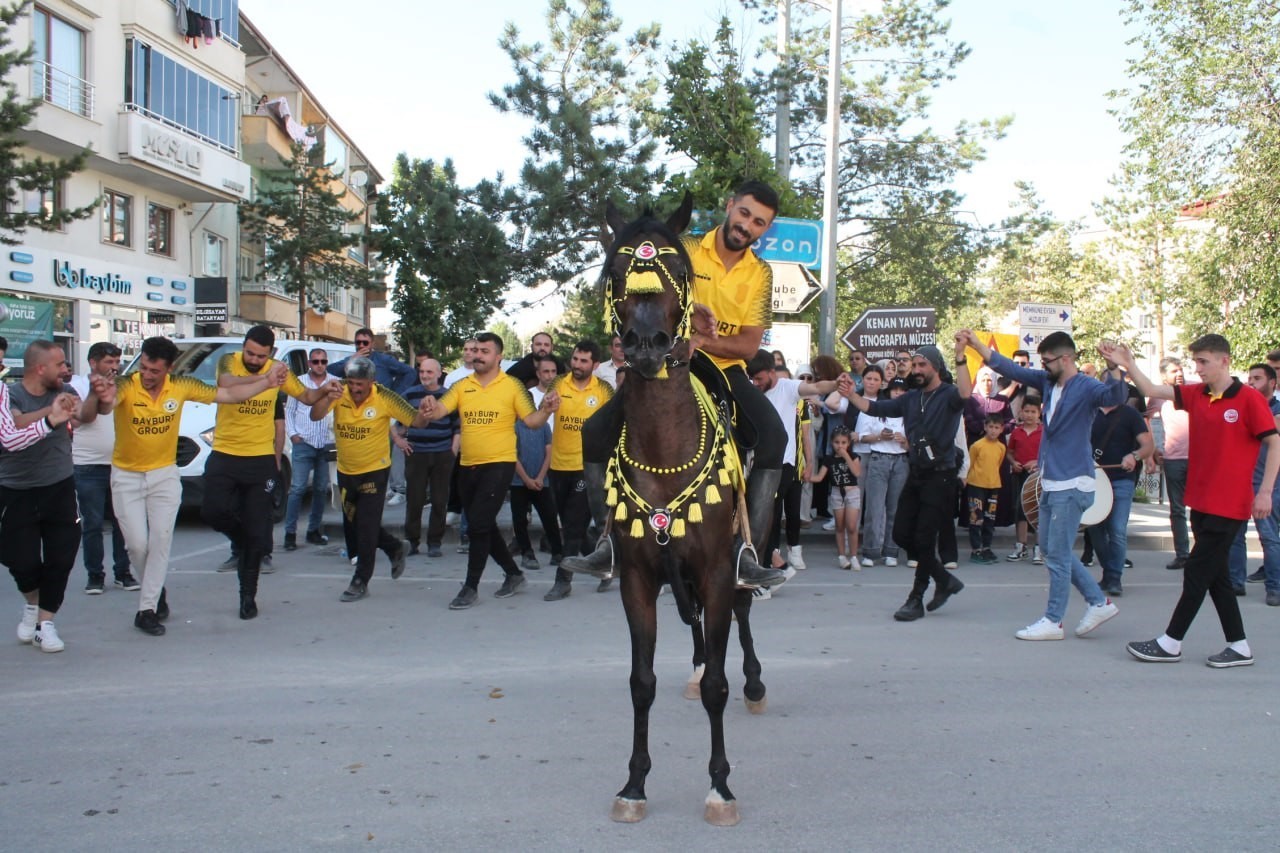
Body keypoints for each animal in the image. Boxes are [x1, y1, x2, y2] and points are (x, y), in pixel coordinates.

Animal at [596, 195, 757, 819]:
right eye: (615, 272)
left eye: (681, 273)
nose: (647, 345)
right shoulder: (637, 578)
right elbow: (641, 683)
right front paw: (633, 784)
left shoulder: (715, 570)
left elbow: (718, 684)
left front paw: (720, 786)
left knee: (741, 616)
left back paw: (755, 682)